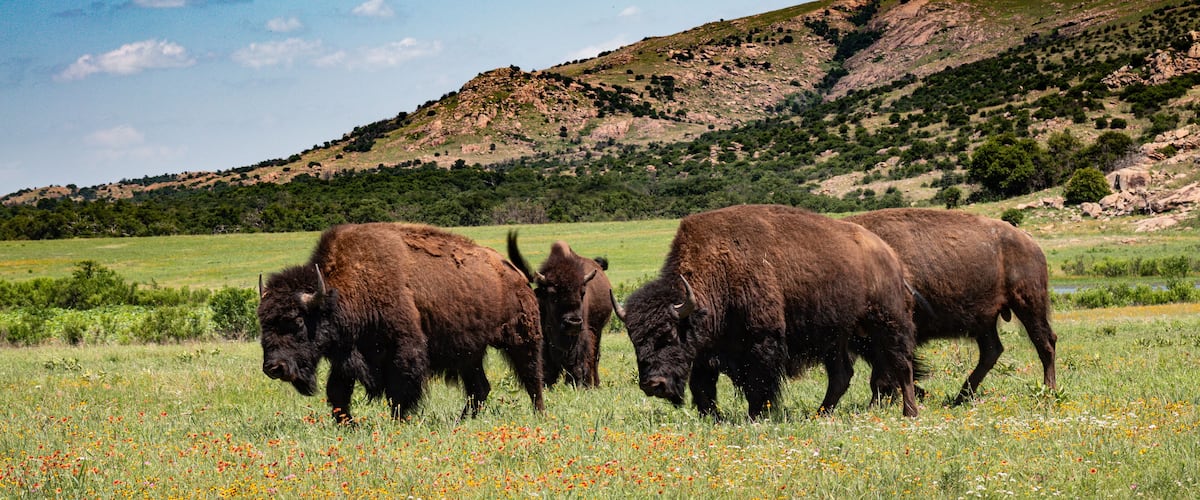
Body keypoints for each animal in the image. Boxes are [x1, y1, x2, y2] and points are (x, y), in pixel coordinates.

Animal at [258, 222, 544, 424]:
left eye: (296, 321)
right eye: (263, 323)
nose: (274, 367)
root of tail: (515, 274)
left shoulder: (403, 349)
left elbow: (399, 390)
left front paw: (398, 421)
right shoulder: (347, 355)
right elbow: (337, 392)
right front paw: (348, 425)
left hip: (522, 339)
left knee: (532, 378)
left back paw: (538, 414)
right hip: (469, 354)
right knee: (479, 388)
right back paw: (461, 421)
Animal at [508, 232, 614, 388]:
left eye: (582, 293)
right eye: (552, 295)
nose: (573, 322)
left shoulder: (583, 334)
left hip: (597, 329)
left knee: (595, 357)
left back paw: (595, 383)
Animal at [616, 204, 919, 419]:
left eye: (669, 335)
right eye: (635, 340)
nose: (652, 384)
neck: (720, 269)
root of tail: (889, 254)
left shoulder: (762, 341)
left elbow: (758, 383)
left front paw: (756, 415)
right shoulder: (706, 352)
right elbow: (703, 387)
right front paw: (713, 417)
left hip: (886, 324)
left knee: (901, 365)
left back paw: (910, 412)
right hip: (838, 337)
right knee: (841, 375)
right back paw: (820, 414)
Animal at [845, 208, 1057, 403]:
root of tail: (1029, 241)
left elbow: (882, 376)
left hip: (1028, 305)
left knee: (1045, 343)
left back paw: (1049, 390)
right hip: (985, 321)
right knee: (992, 351)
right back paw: (961, 397)